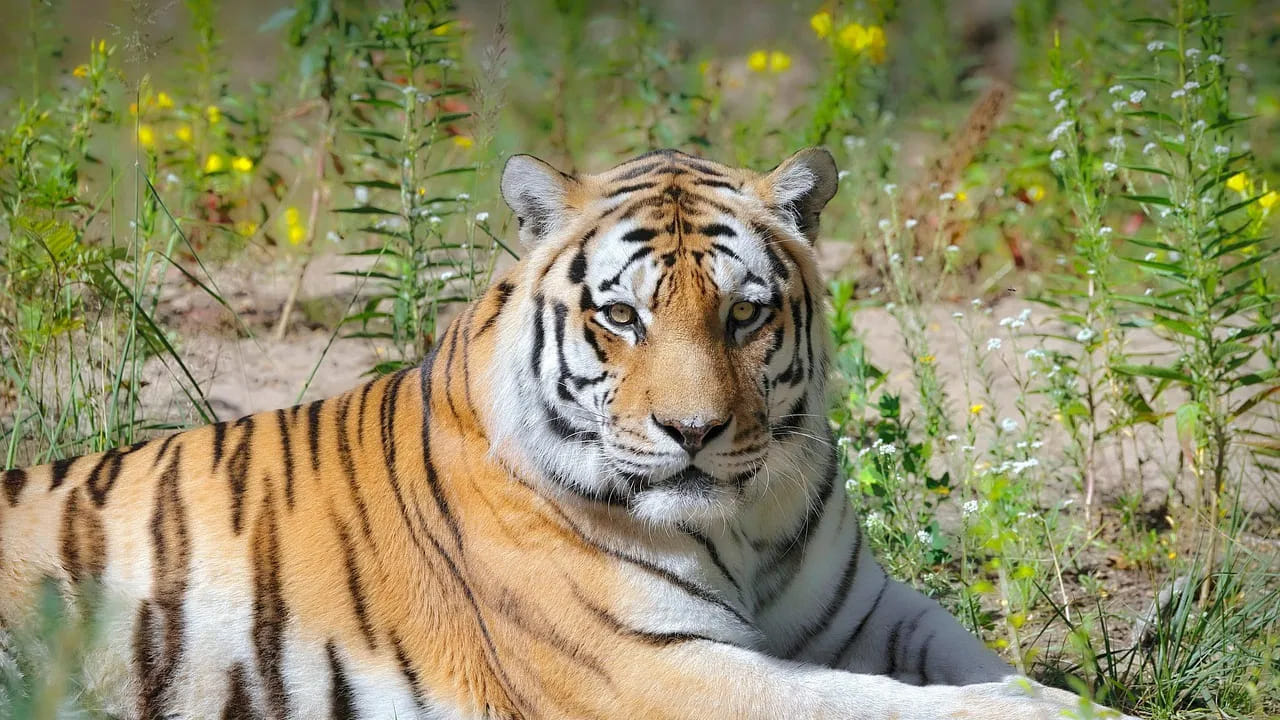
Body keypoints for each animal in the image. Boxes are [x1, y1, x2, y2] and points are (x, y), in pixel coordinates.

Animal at [0, 148, 1138, 720]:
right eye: (622, 316)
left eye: (745, 315)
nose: (692, 431)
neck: (743, 527)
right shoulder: (652, 669)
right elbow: (886, 709)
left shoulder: (868, 613)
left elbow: (989, 668)